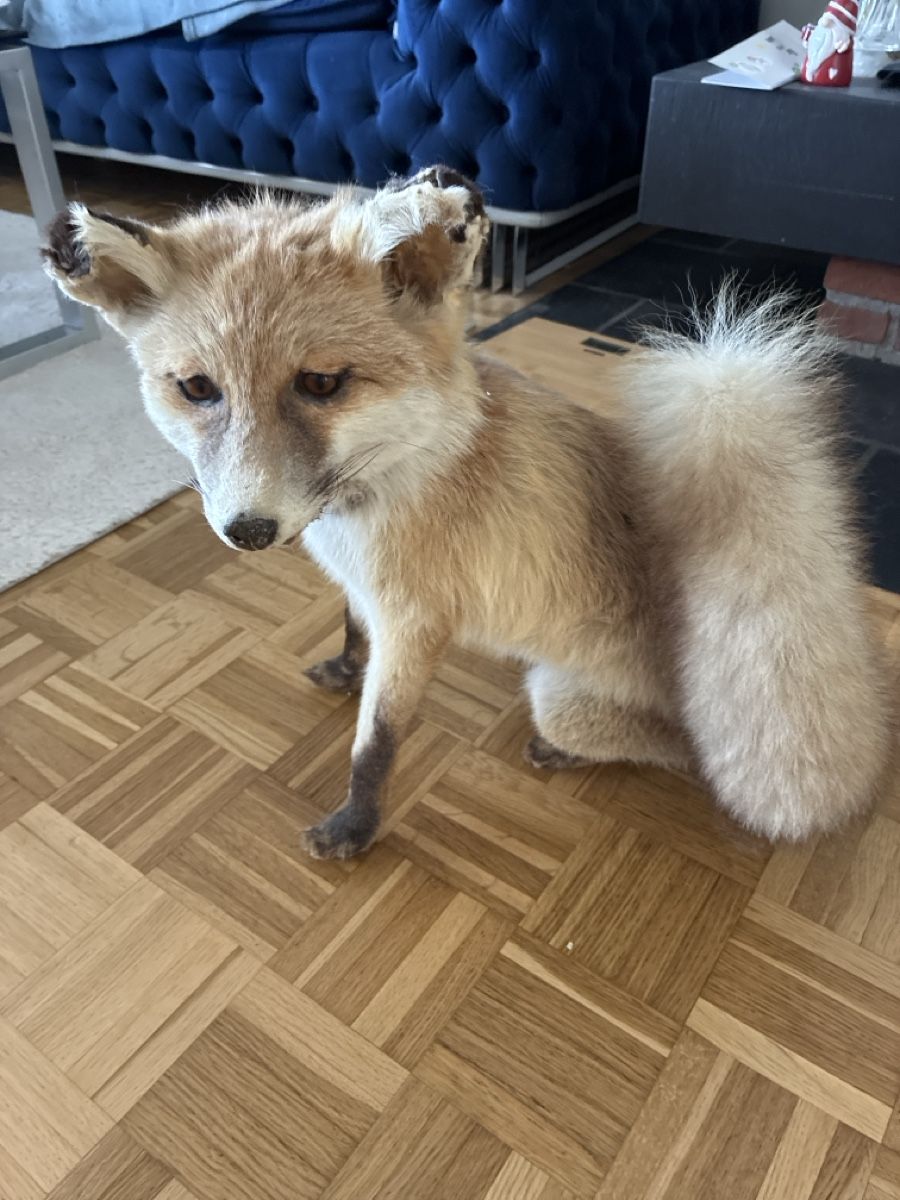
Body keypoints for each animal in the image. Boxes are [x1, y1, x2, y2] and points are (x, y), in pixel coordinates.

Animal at [43, 166, 889, 860]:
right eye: (198, 390)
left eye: (321, 384)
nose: (247, 531)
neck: (388, 484)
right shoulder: (372, 598)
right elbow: (352, 632)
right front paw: (345, 669)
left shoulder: (418, 623)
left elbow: (377, 745)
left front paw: (356, 828)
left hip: (558, 700)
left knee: (686, 760)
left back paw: (571, 755)